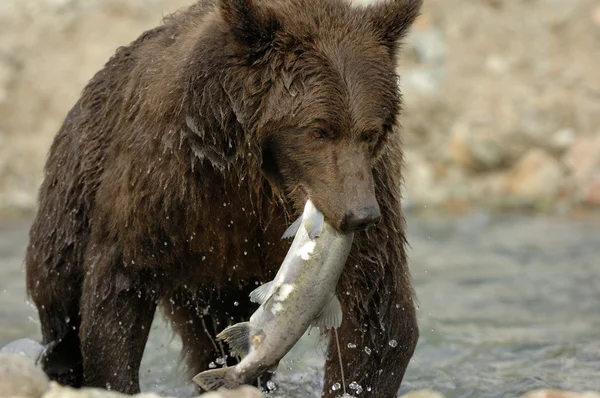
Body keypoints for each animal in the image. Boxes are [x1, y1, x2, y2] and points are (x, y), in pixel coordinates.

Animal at [24, 0, 422, 394]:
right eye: (318, 130)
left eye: (371, 132)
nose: (360, 215)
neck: (254, 176)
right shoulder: (163, 185)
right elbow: (119, 289)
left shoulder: (372, 187)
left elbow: (376, 313)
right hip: (77, 192)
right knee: (60, 299)